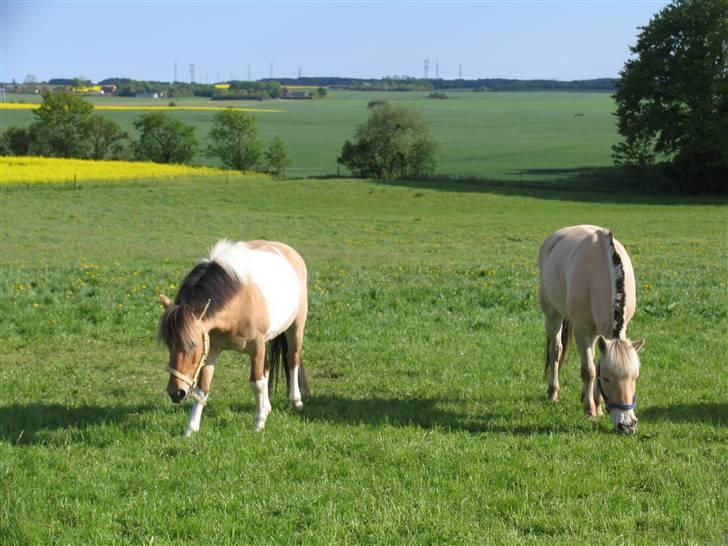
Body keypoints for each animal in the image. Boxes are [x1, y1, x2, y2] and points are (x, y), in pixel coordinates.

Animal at [158, 238, 308, 434]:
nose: (176, 393)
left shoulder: (256, 347)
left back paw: (295, 402)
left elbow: (256, 383)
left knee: (292, 359)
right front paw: (190, 428)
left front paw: (258, 424)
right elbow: (203, 388)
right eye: (168, 345)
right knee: (267, 368)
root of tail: (289, 251)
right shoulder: (212, 349)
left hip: (296, 327)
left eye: (192, 344)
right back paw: (267, 407)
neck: (239, 302)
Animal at [536, 223, 644, 432]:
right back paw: (553, 393)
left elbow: (596, 364)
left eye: (635, 377)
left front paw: (597, 405)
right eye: (608, 379)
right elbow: (589, 371)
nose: (627, 425)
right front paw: (590, 411)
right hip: (553, 315)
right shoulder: (582, 330)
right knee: (556, 351)